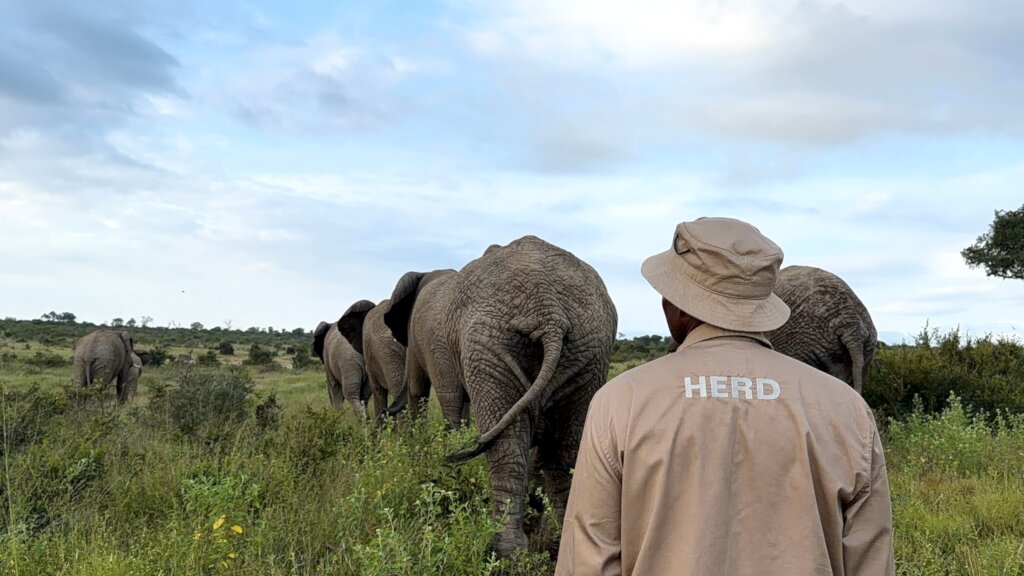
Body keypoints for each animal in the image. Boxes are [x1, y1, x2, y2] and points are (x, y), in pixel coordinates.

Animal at [383, 235, 618, 557]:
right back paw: (556, 543)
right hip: (589, 349)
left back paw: (504, 549)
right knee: (566, 449)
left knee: (507, 446)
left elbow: (436, 396)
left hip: (491, 345)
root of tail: (549, 313)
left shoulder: (432, 341)